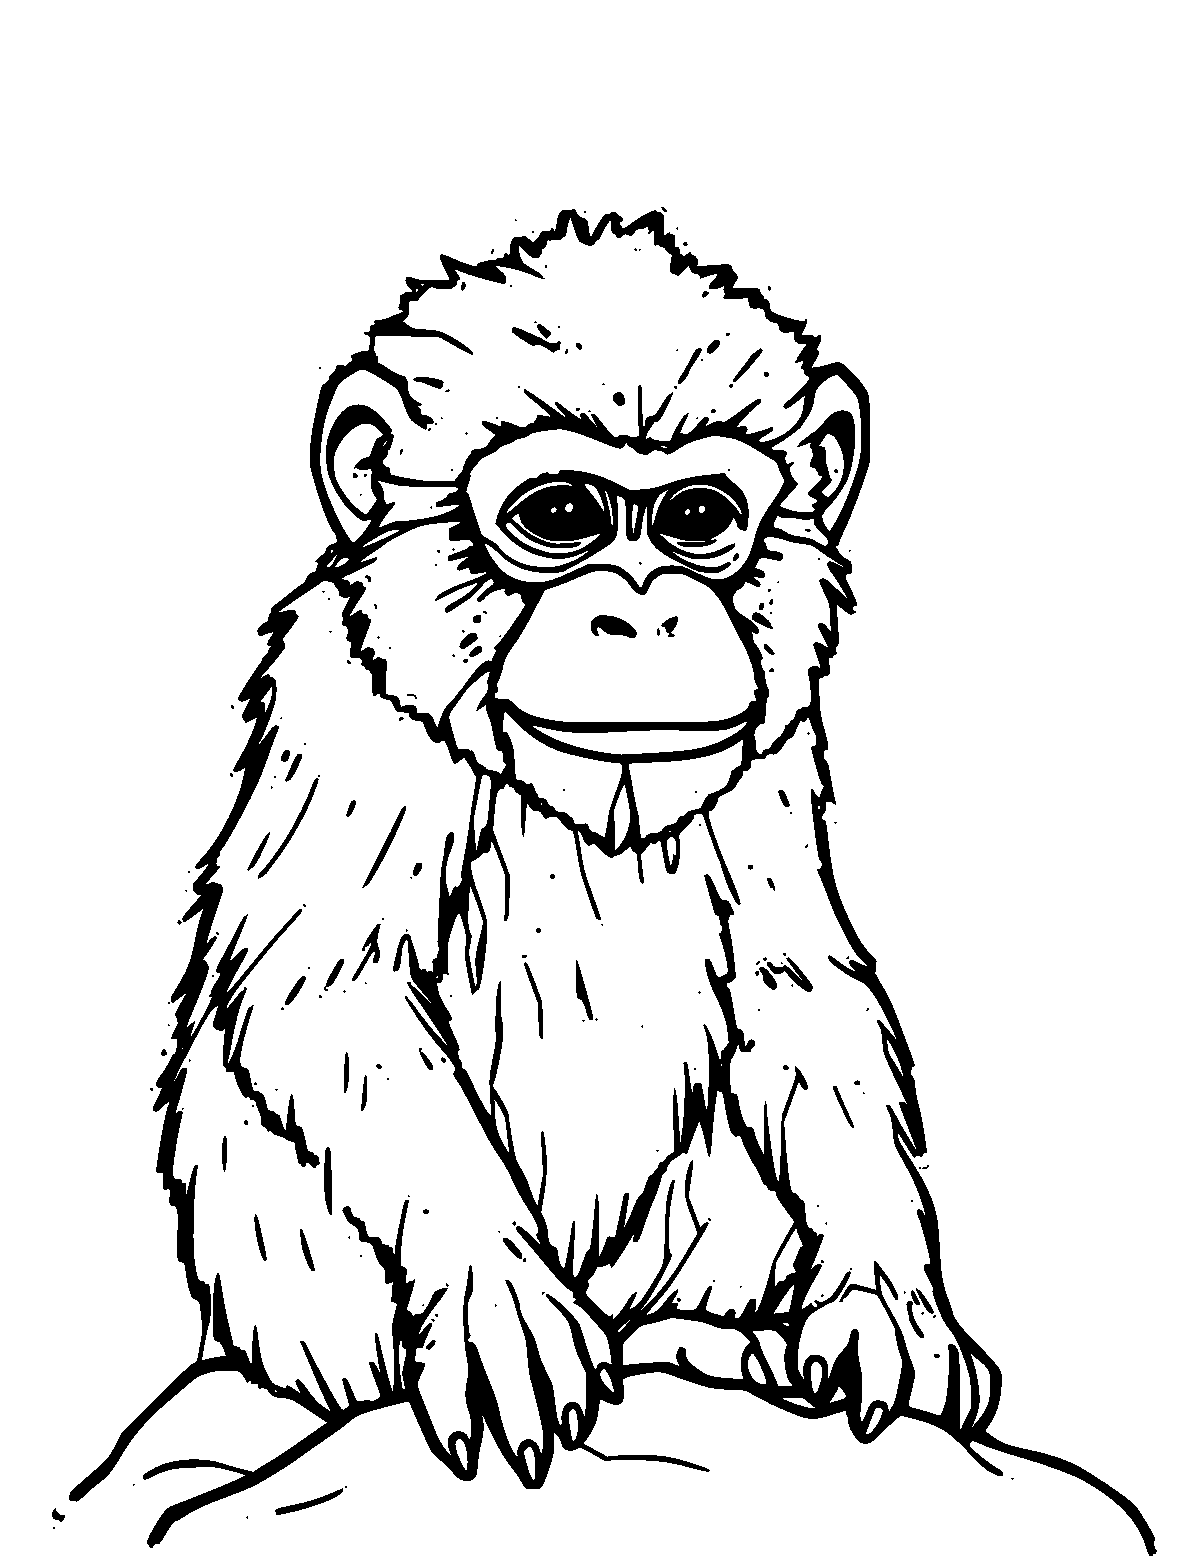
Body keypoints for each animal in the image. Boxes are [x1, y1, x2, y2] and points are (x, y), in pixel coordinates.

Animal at [158, 210, 999, 1494]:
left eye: (698, 518)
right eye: (562, 517)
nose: (642, 613)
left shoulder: (776, 745)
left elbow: (796, 991)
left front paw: (884, 1291)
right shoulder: (343, 699)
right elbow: (332, 988)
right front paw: (494, 1292)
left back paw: (706, 1343)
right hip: (290, 1289)